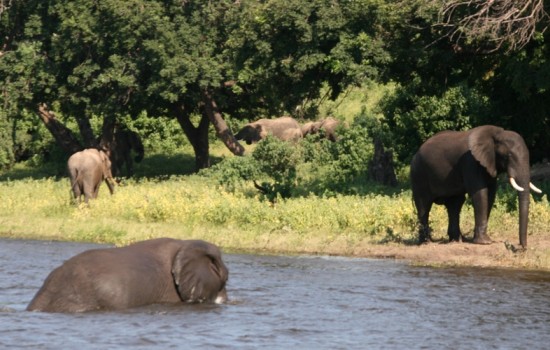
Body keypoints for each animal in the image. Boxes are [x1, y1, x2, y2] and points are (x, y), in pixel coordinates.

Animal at [410, 124, 544, 247]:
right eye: (507, 156)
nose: (520, 247)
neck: (497, 134)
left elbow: (490, 195)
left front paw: (481, 240)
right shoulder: (470, 162)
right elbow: (480, 193)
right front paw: (485, 242)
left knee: (455, 204)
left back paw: (457, 240)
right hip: (418, 174)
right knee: (424, 205)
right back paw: (426, 243)